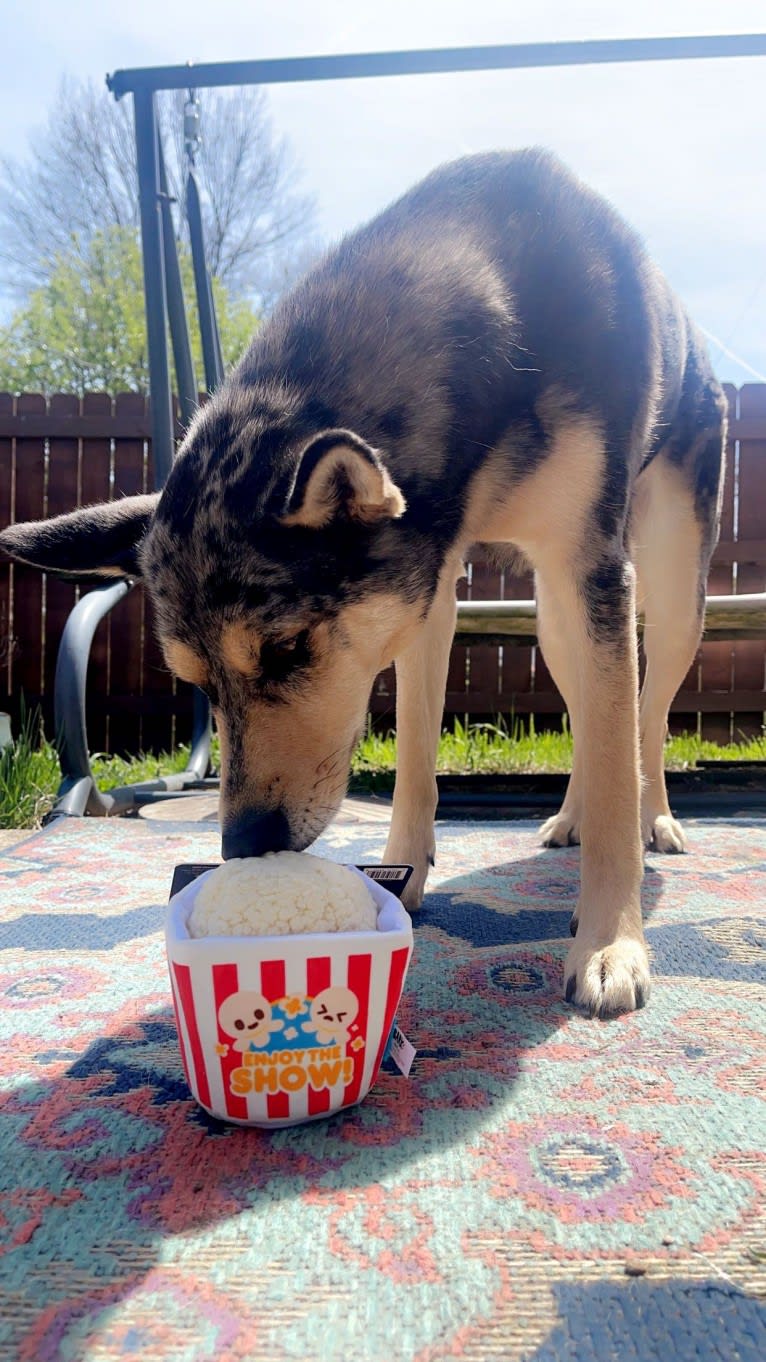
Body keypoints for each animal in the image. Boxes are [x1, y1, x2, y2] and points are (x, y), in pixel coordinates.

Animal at [0, 154, 725, 1018]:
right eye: (196, 682)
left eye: (285, 650)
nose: (245, 845)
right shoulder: (430, 584)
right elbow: (415, 748)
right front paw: (402, 871)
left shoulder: (591, 564)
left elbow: (621, 747)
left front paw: (611, 941)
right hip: (553, 617)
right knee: (590, 708)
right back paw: (572, 812)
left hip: (666, 585)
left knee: (642, 716)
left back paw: (655, 818)